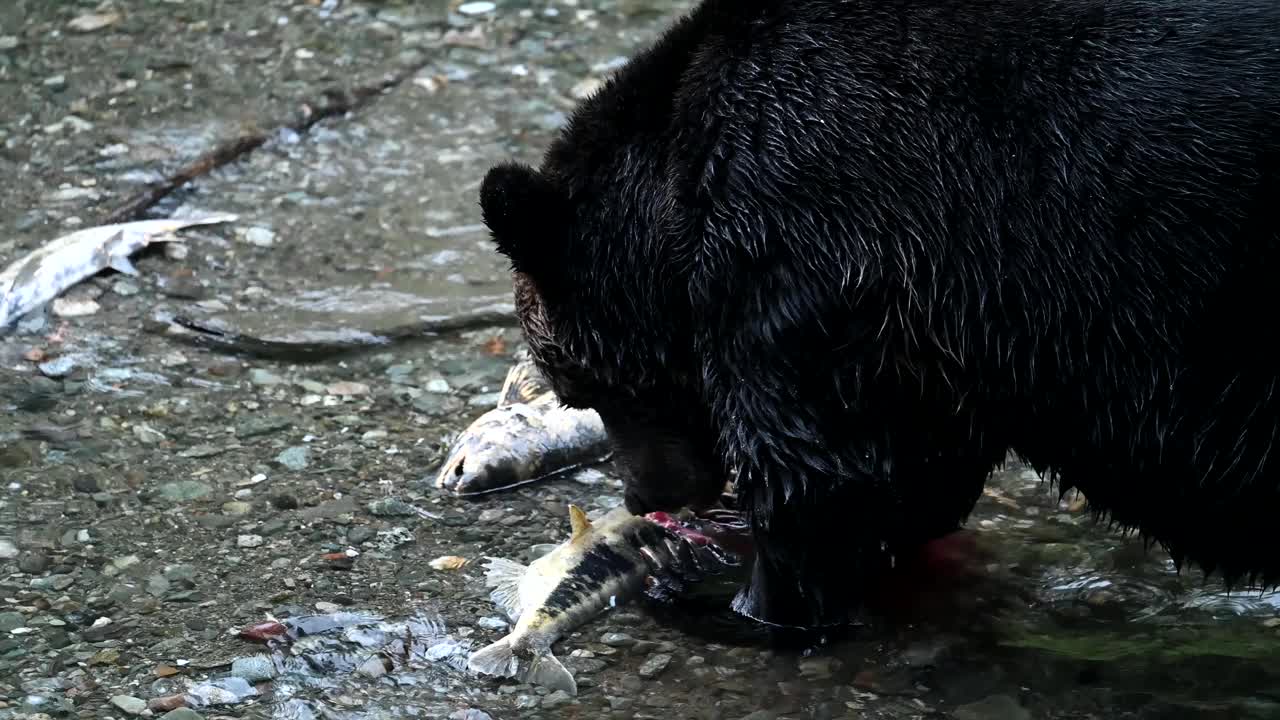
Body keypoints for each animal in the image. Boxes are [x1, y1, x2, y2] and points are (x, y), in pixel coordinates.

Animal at [476, 0, 1280, 630]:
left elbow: (817, 479)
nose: (645, 495)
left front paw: (736, 604)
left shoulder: (803, 242)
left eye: (578, 383)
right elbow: (911, 474)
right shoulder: (926, 324)